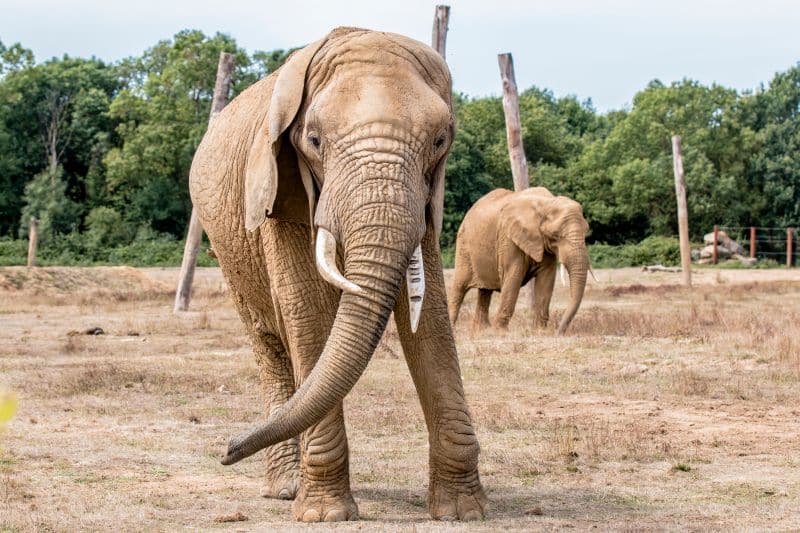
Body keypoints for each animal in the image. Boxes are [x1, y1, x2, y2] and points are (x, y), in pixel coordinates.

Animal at [189, 27, 488, 520]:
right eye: (313, 140)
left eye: (440, 141)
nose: (227, 449)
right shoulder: (280, 189)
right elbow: (308, 314)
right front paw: (325, 515)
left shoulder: (426, 203)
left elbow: (430, 322)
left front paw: (463, 513)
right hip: (227, 248)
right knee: (270, 345)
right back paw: (285, 488)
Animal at [446, 185, 592, 330]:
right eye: (555, 235)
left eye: (586, 231)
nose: (558, 331)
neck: (547, 202)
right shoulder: (508, 238)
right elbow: (513, 276)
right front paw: (500, 331)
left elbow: (546, 279)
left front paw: (540, 330)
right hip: (464, 246)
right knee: (460, 286)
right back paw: (453, 327)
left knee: (485, 291)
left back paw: (482, 330)